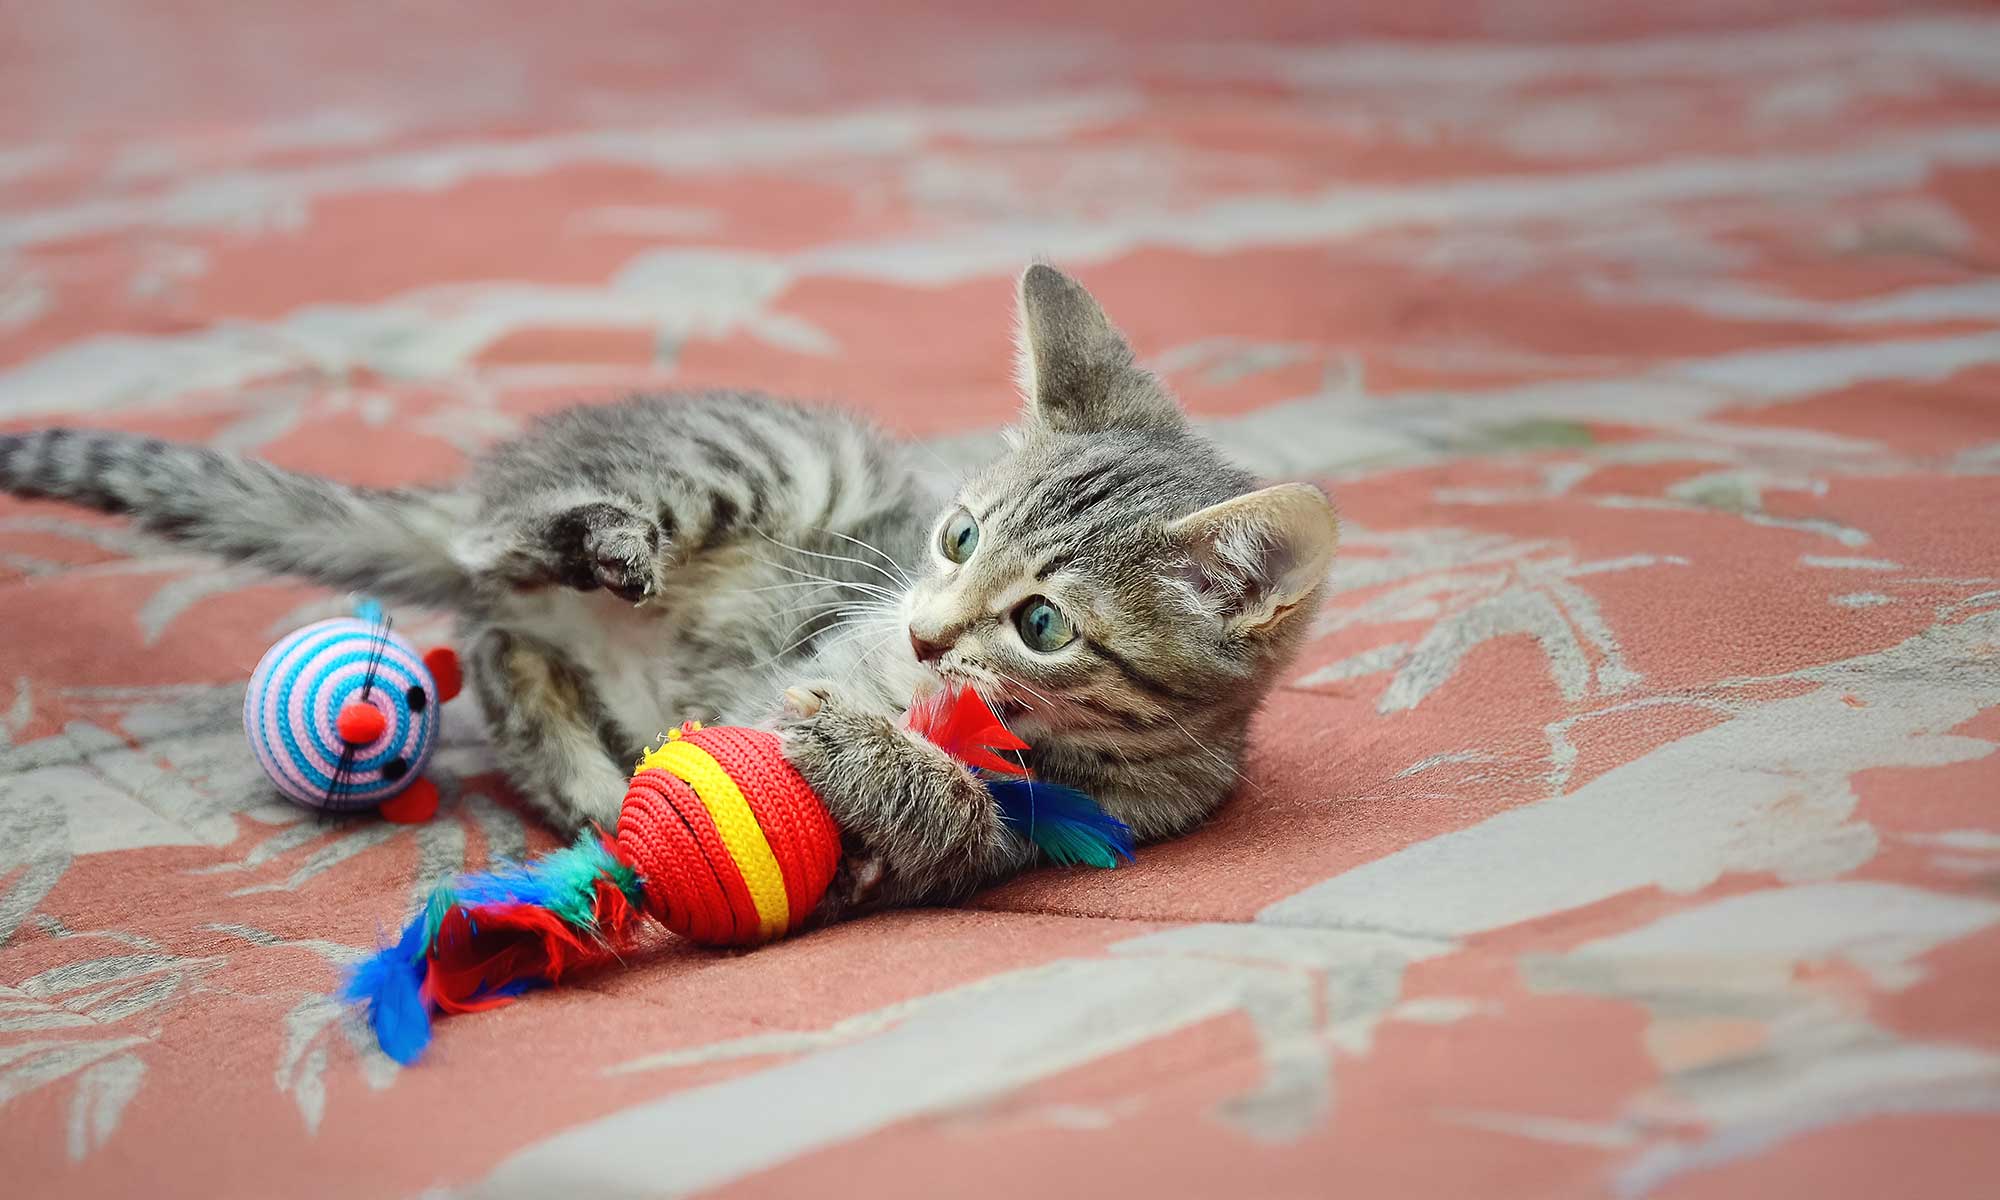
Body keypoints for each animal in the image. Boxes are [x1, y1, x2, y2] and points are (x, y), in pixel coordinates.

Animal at [7, 268, 1344, 916]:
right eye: (956, 535)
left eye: (1043, 625)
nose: (922, 636)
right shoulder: (825, 634)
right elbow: (804, 692)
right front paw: (856, 722)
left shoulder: (1058, 833)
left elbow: (952, 822)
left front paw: (876, 776)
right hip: (773, 464)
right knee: (494, 552)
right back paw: (595, 544)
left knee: (496, 647)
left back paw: (596, 786)